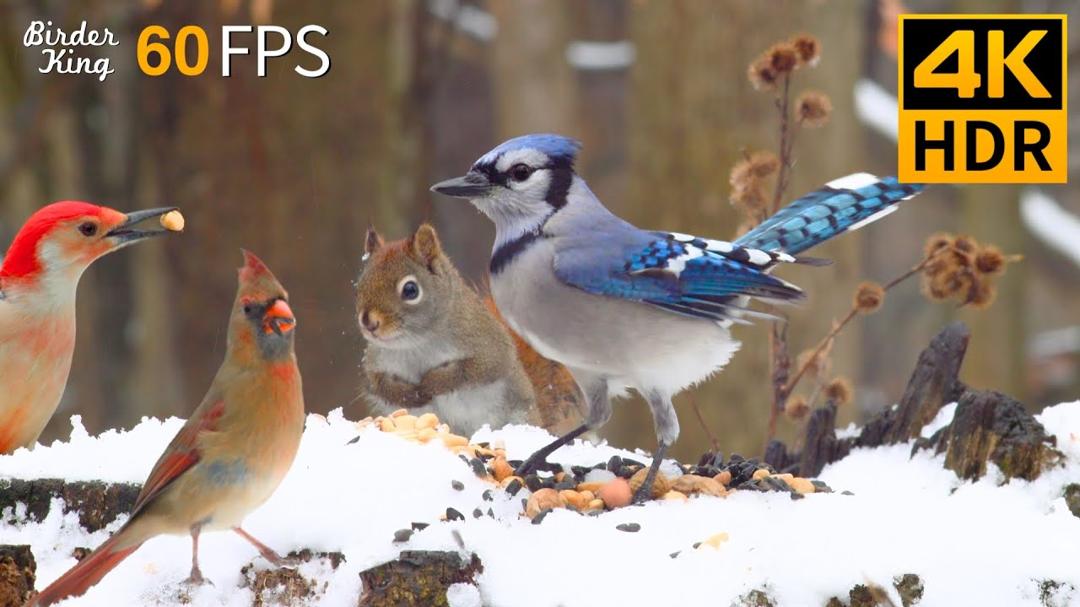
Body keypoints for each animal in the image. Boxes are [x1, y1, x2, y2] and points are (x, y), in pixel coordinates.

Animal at [357, 224, 583, 436]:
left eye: (410, 290)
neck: (415, 344)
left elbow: (473, 370)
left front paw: (432, 382)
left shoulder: (487, 345)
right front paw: (408, 394)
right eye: (360, 285)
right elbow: (379, 385)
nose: (369, 322)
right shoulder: (375, 362)